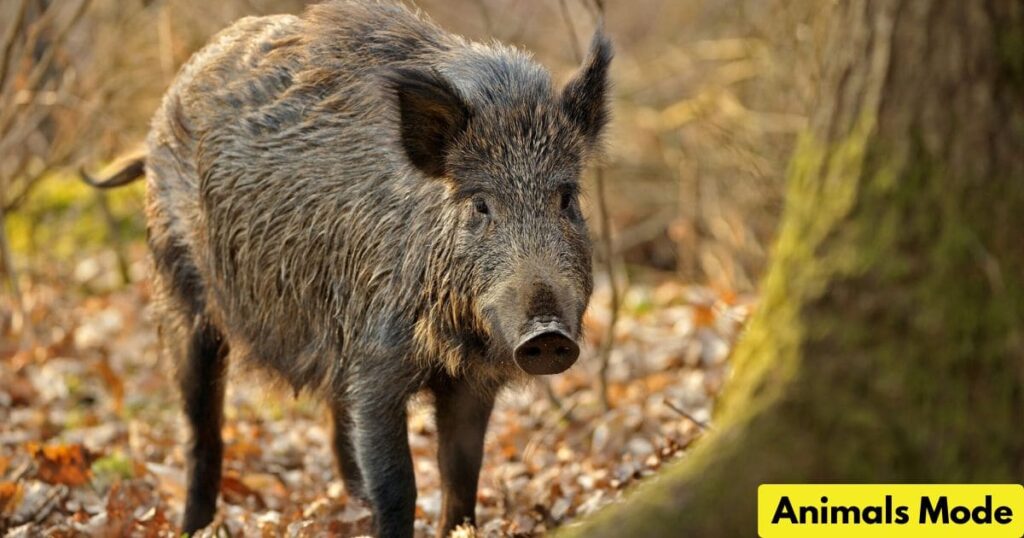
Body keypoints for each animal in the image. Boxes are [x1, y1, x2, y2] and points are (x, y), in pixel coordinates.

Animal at [83, 0, 611, 536]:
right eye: (480, 204)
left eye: (566, 198)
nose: (548, 333)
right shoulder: (374, 362)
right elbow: (398, 484)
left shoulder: (468, 382)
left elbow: (462, 474)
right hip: (179, 291)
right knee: (200, 428)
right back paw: (193, 523)